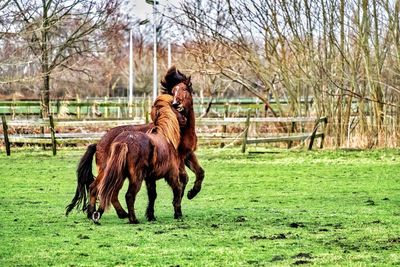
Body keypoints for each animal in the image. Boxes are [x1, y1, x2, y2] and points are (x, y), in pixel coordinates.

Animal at [93, 94, 182, 224]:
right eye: (178, 109)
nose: (185, 120)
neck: (165, 136)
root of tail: (124, 142)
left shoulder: (150, 178)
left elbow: (152, 195)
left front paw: (151, 216)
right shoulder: (172, 175)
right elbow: (177, 191)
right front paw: (178, 214)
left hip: (118, 175)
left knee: (107, 192)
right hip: (136, 178)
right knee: (129, 195)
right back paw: (133, 219)